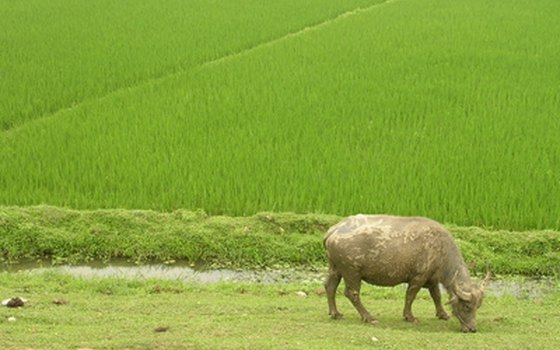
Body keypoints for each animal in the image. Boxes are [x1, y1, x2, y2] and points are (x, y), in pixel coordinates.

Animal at [324, 215, 490, 332]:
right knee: (352, 293)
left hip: (335, 268)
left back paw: (335, 313)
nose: (472, 329)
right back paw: (369, 317)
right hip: (351, 272)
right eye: (467, 306)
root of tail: (334, 230)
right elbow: (411, 296)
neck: (441, 250)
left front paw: (442, 314)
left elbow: (436, 296)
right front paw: (409, 316)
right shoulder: (418, 277)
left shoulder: (432, 279)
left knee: (330, 286)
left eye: (478, 306)